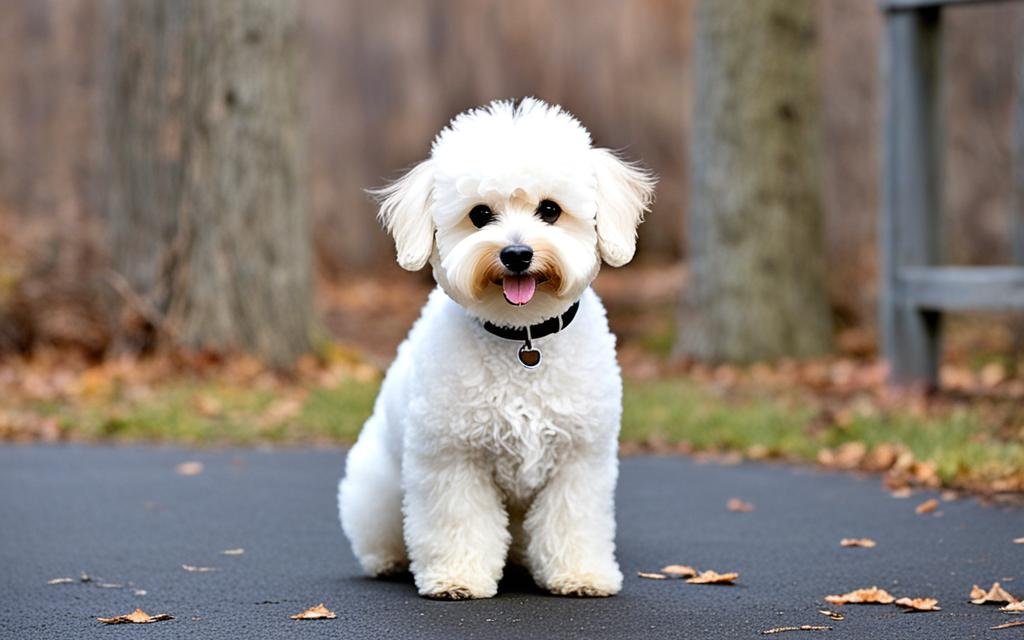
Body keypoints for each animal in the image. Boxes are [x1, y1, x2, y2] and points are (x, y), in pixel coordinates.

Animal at [337, 97, 655, 598]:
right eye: (480, 215)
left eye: (550, 210)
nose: (517, 254)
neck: (523, 341)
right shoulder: (453, 460)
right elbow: (459, 522)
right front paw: (457, 577)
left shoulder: (579, 461)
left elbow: (573, 521)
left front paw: (580, 574)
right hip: (377, 489)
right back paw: (389, 560)